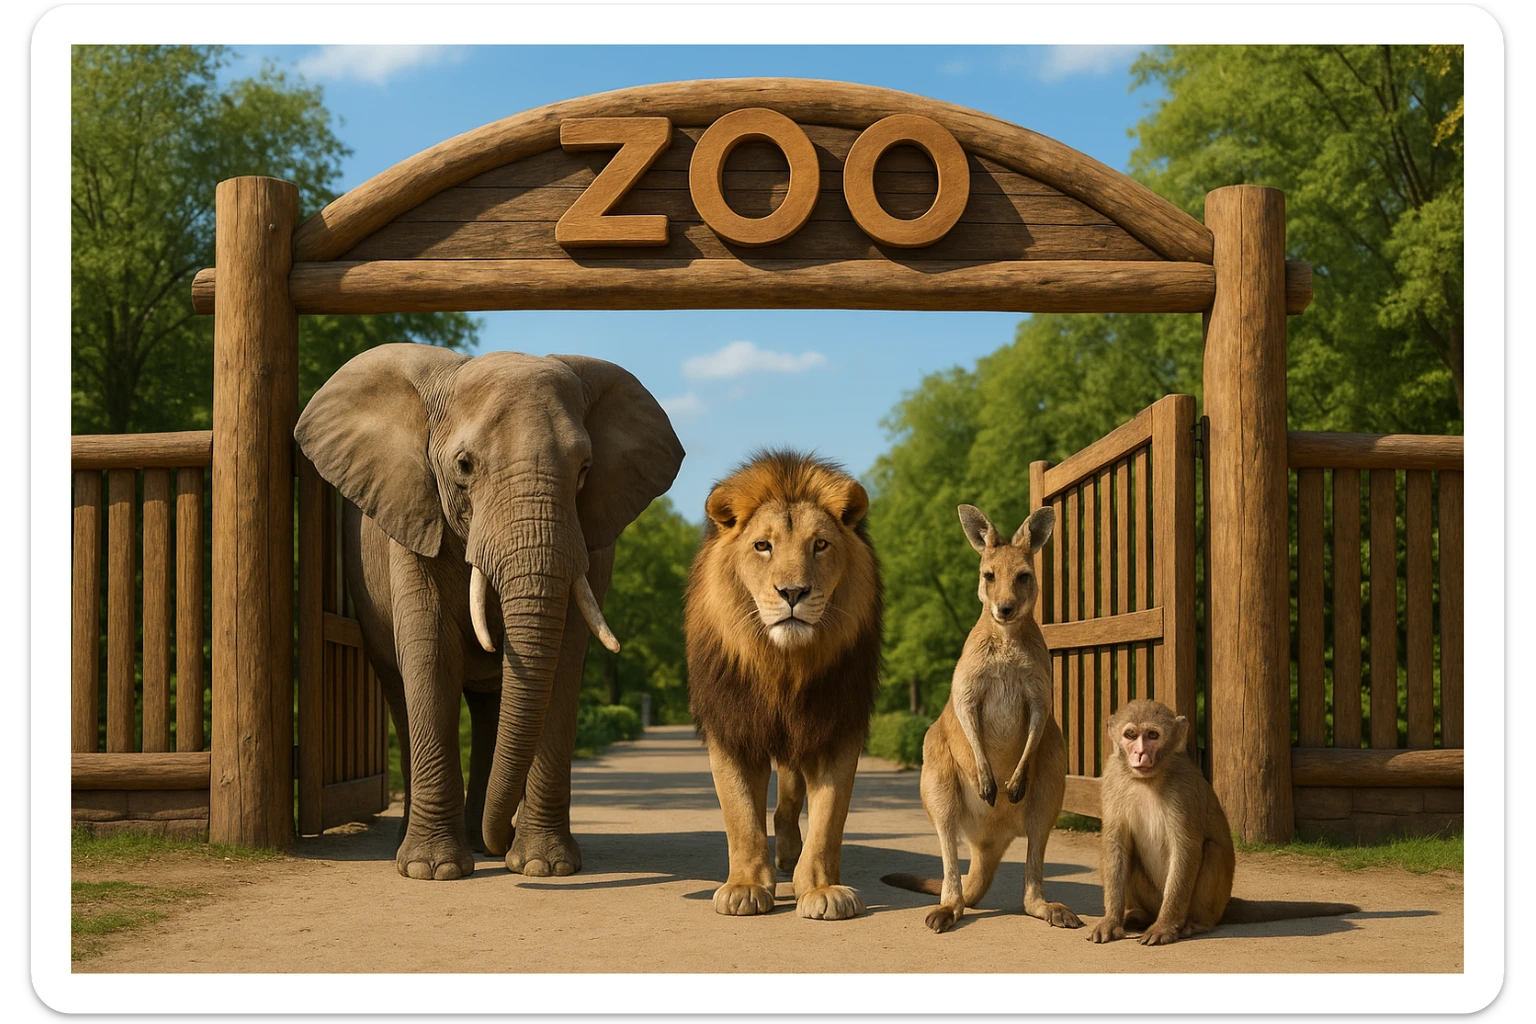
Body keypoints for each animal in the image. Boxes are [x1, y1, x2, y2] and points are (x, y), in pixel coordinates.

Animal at [294, 343, 684, 879]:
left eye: (585, 469)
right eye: (464, 465)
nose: (502, 843)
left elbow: (564, 661)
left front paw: (543, 866)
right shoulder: (414, 520)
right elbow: (431, 656)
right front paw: (433, 871)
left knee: (490, 708)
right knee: (399, 689)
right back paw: (420, 844)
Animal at [685, 450, 882, 920]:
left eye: (820, 545)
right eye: (763, 546)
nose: (793, 592)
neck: (783, 666)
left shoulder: (837, 727)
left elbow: (829, 819)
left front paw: (823, 889)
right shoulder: (733, 726)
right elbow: (740, 815)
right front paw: (744, 887)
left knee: (790, 801)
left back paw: (791, 854)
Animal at [883, 504, 1083, 934]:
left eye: (1024, 576)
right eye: (988, 575)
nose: (1004, 609)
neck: (1005, 638)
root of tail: (990, 841)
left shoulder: (1040, 692)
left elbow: (1038, 718)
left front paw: (1011, 782)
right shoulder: (967, 687)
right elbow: (966, 714)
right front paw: (988, 781)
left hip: (1051, 776)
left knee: (1031, 874)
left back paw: (1051, 909)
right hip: (937, 774)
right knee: (949, 855)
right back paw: (946, 910)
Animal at [1089, 699, 1360, 945]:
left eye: (1152, 735)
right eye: (1131, 735)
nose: (1140, 754)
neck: (1147, 779)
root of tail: (1226, 903)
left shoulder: (1183, 788)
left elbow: (1186, 848)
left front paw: (1165, 926)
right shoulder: (1112, 778)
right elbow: (1116, 844)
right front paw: (1111, 921)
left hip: (1209, 903)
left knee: (1211, 851)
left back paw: (1196, 923)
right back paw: (1140, 916)